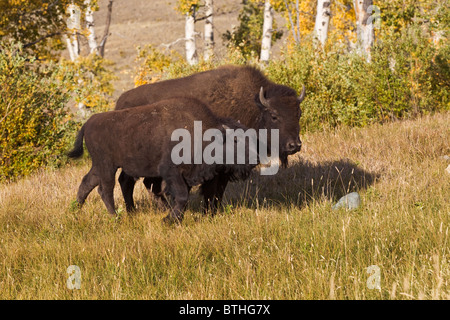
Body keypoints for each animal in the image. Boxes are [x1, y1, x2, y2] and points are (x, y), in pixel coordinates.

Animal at [66, 96, 256, 224]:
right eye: (236, 140)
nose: (254, 160)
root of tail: (88, 123)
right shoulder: (172, 172)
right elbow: (181, 196)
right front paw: (170, 219)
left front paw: (173, 217)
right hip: (107, 166)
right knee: (105, 190)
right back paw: (115, 217)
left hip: (100, 166)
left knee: (88, 183)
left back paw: (76, 210)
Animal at [116, 64, 306, 212]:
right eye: (274, 115)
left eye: (299, 114)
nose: (294, 145)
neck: (253, 107)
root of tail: (120, 103)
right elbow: (210, 190)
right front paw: (208, 212)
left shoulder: (225, 170)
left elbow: (218, 192)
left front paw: (215, 211)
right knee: (127, 181)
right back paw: (133, 211)